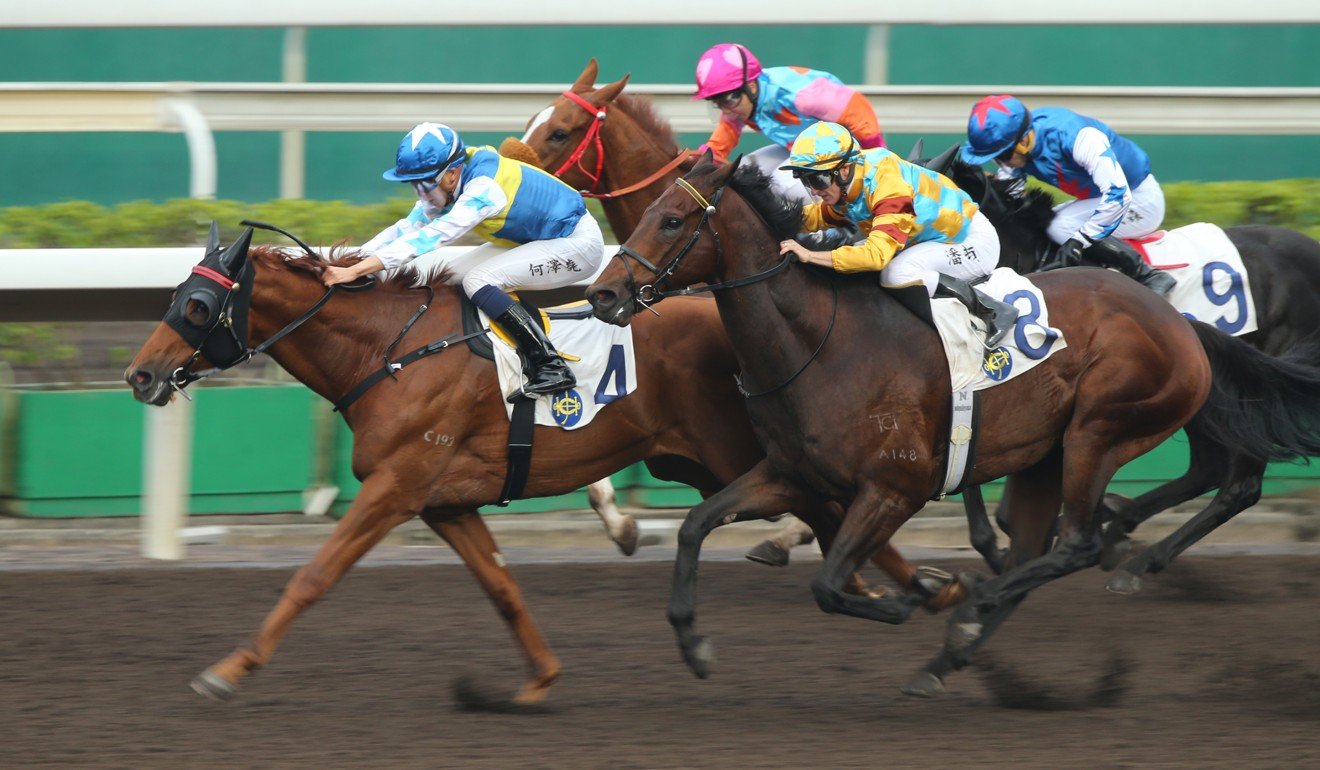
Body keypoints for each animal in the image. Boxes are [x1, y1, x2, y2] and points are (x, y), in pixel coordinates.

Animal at [128, 221, 966, 702]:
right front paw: (538, 680)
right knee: (839, 521)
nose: (140, 374)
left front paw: (229, 670)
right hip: (715, 464)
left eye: (196, 307)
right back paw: (937, 596)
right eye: (172, 297)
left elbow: (312, 577)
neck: (389, 352)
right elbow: (503, 589)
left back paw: (939, 598)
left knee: (847, 515)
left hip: (749, 456)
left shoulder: (396, 487)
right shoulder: (445, 501)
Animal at [934, 153, 1320, 594]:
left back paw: (1135, 559)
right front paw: (996, 549)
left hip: (1247, 387)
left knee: (1241, 486)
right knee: (1208, 468)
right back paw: (1122, 526)